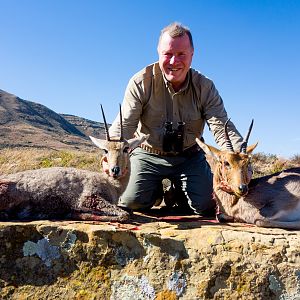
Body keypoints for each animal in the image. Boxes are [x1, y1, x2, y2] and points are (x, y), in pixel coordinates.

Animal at [0, 105, 149, 223]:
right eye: (105, 150)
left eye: (126, 149)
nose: (115, 170)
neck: (113, 186)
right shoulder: (88, 198)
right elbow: (124, 215)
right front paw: (74, 213)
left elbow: (128, 211)